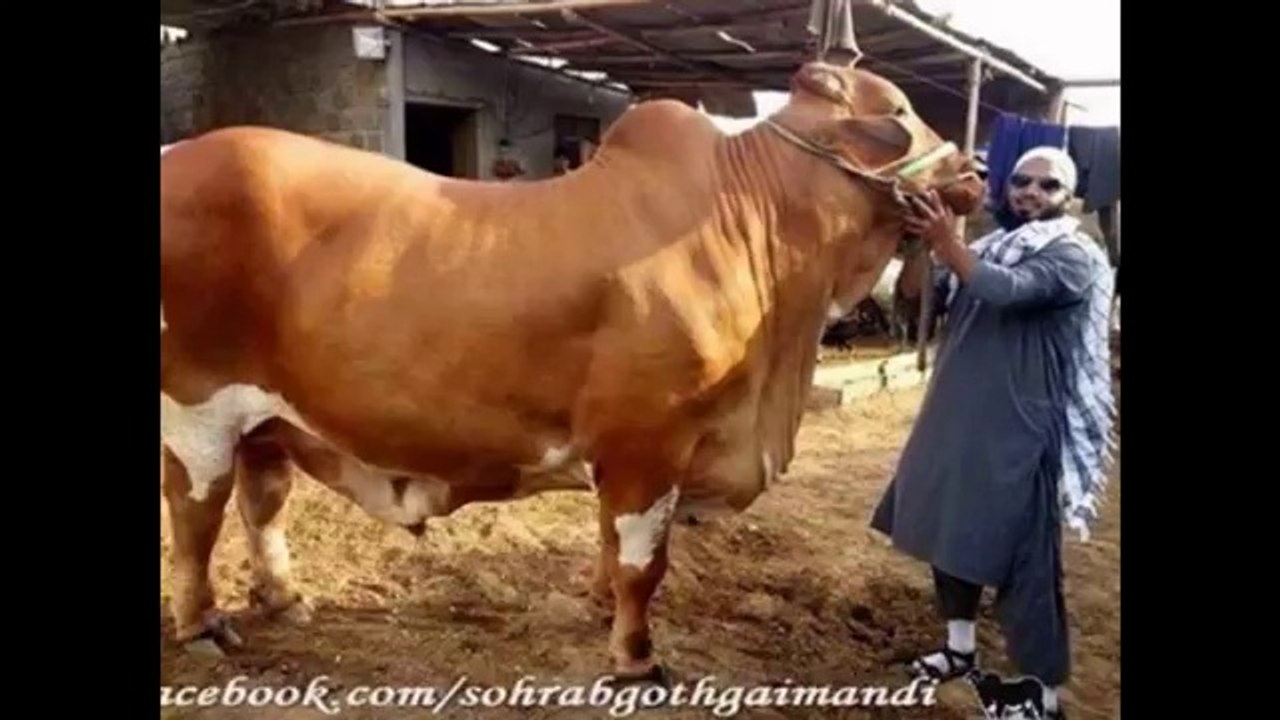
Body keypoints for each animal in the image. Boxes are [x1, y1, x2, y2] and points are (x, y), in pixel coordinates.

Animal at [159, 59, 984, 682]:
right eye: (899, 109)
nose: (975, 171)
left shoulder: (624, 453)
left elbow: (613, 547)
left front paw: (597, 608)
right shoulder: (650, 444)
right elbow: (643, 563)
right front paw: (636, 659)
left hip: (268, 416)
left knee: (263, 500)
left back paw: (284, 597)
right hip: (198, 409)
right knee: (199, 514)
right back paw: (203, 626)